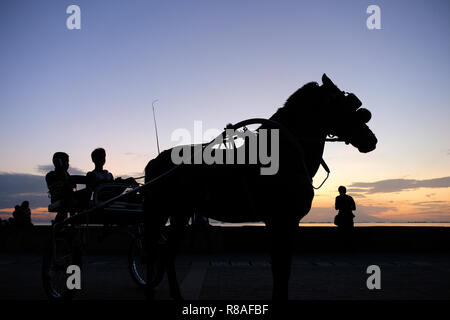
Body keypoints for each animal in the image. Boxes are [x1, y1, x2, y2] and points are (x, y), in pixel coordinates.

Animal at [143, 75, 376, 300]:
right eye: (342, 102)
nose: (371, 139)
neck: (286, 152)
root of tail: (155, 160)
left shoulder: (278, 222)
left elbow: (280, 269)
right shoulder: (284, 219)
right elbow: (282, 268)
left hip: (180, 213)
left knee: (166, 252)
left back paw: (176, 295)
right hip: (159, 212)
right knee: (152, 251)